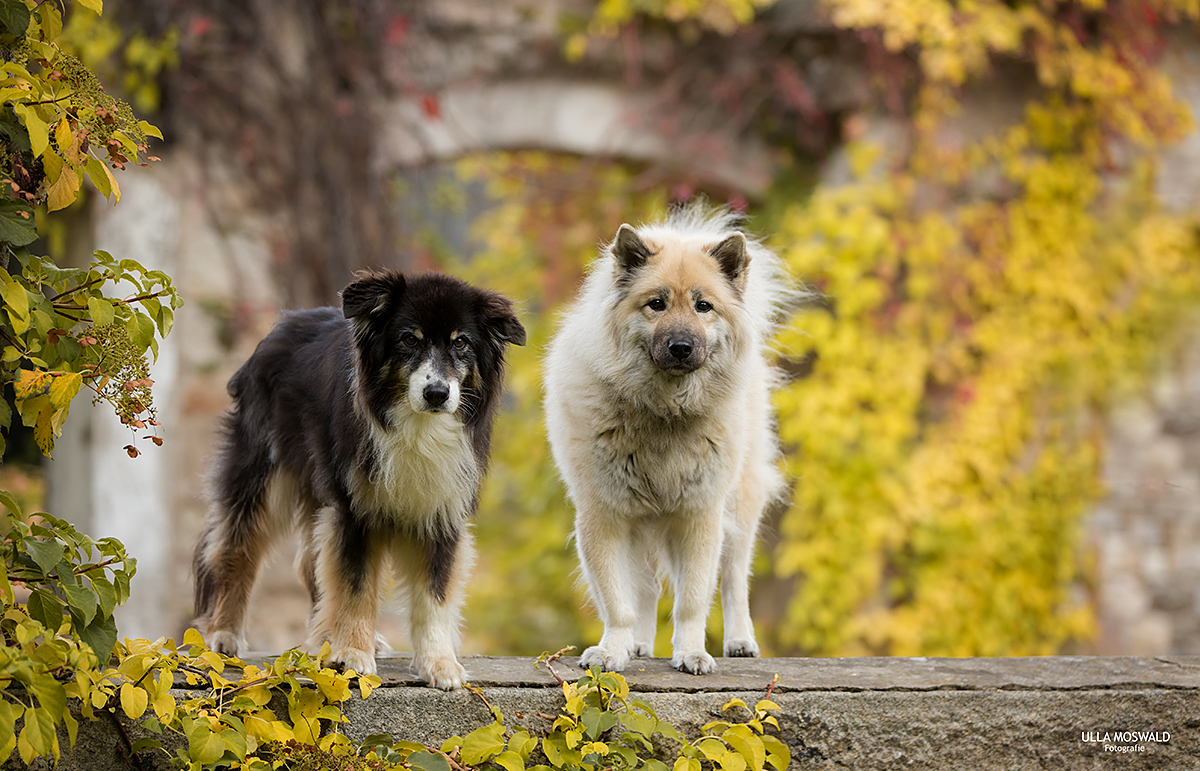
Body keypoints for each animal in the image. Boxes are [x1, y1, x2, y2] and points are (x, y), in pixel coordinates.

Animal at [194, 269, 523, 682]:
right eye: (409, 339)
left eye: (461, 342)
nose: (437, 393)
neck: (417, 425)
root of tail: (283, 324)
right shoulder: (357, 508)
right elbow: (355, 585)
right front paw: (351, 654)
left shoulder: (442, 510)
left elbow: (434, 595)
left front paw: (440, 663)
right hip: (264, 471)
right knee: (237, 548)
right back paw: (223, 634)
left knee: (310, 563)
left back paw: (323, 636)